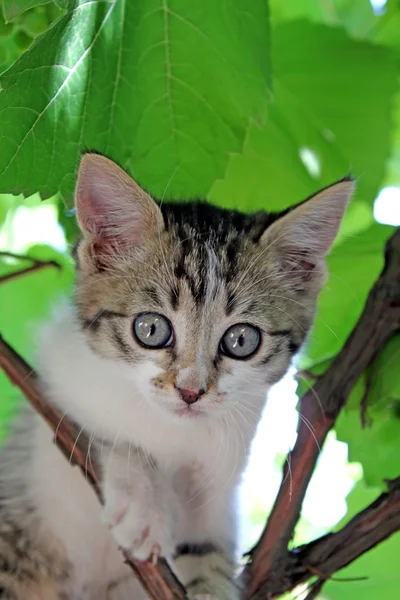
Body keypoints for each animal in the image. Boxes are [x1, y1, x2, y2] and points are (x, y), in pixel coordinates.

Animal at [0, 155, 354, 600]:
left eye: (241, 339)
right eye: (151, 329)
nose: (190, 390)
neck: (175, 433)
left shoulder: (219, 488)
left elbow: (209, 551)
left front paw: (211, 585)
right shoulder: (55, 374)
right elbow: (102, 432)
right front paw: (144, 505)